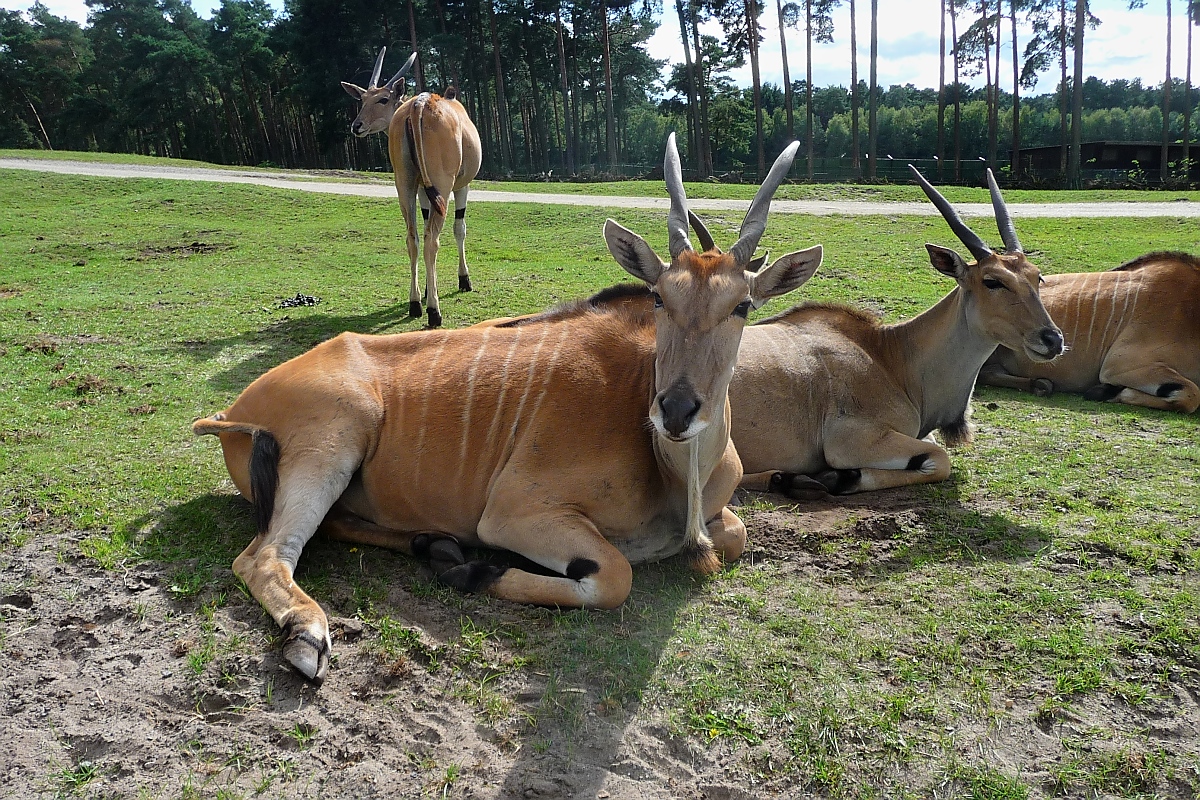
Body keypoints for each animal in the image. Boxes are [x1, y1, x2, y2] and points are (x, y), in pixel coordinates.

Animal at [192, 136, 820, 681]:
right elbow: (615, 577)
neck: (674, 470)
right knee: (265, 557)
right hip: (335, 439)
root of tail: (230, 410)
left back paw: (433, 544)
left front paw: (454, 558)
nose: (677, 410)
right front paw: (477, 570)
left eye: (743, 305)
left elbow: (735, 535)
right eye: (660, 297)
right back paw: (311, 633)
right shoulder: (515, 513)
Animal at [340, 48, 480, 328]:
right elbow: (459, 229)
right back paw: (434, 311)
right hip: (442, 185)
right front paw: (464, 280)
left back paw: (415, 303)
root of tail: (419, 104)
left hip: (404, 185)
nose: (356, 126)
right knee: (432, 240)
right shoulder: (462, 186)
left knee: (412, 238)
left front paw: (427, 289)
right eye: (363, 99)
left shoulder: (422, 191)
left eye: (382, 99)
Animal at [724, 165, 1065, 496]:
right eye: (992, 281)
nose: (1052, 339)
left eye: (1037, 277)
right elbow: (940, 459)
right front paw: (838, 478)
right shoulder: (849, 440)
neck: (889, 355)